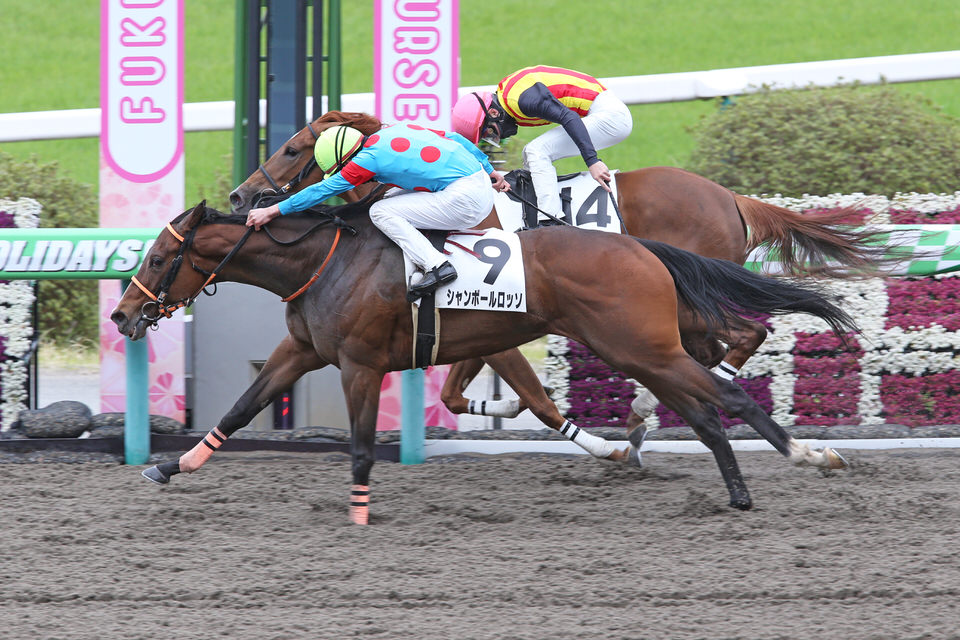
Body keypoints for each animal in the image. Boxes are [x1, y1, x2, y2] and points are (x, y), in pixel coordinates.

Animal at [111, 196, 857, 524]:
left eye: (158, 255)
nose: (122, 315)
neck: (324, 262)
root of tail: (639, 246)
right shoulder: (302, 351)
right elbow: (239, 411)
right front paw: (169, 467)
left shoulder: (359, 364)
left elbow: (361, 446)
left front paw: (360, 513)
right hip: (642, 349)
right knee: (703, 414)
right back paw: (732, 491)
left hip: (642, 344)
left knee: (726, 397)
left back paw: (811, 458)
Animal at [228, 111, 891, 439]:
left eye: (293, 149)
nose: (240, 195)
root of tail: (731, 197)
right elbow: (457, 391)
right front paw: (502, 410)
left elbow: (488, 386)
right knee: (721, 344)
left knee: (741, 337)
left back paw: (662, 406)